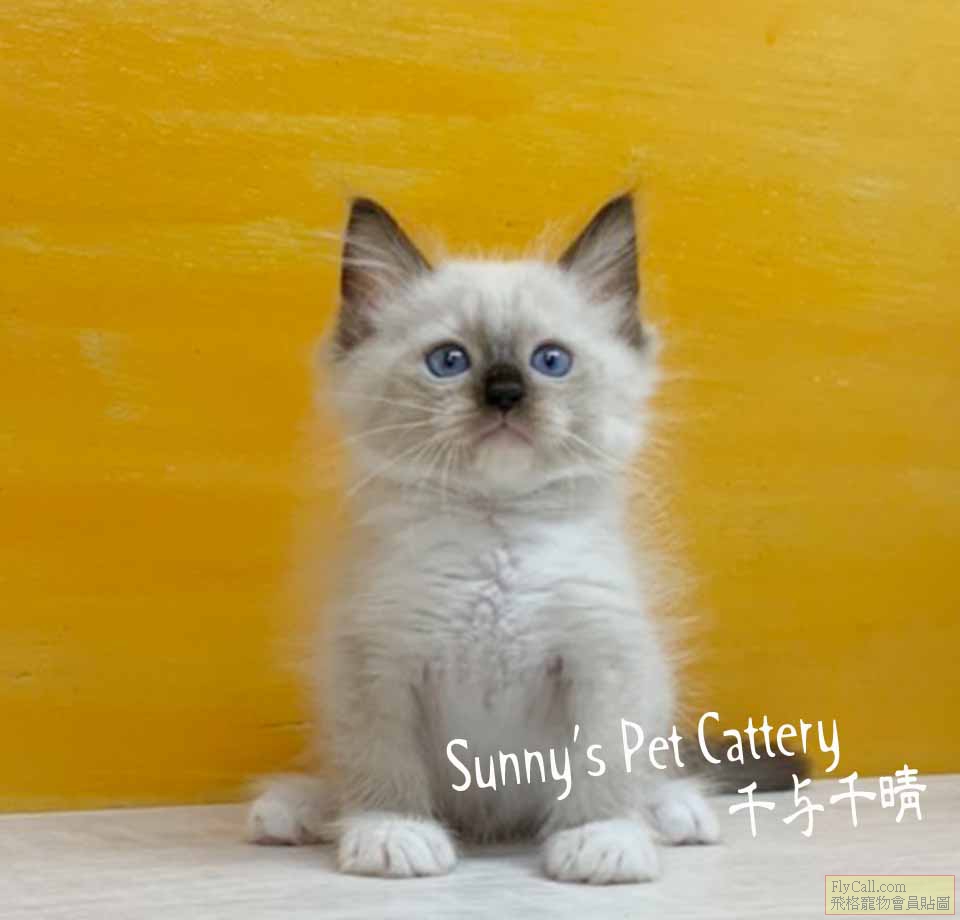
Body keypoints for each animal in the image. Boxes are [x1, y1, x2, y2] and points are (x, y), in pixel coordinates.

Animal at [247, 194, 722, 884]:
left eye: (550, 361)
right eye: (449, 361)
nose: (504, 393)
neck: (496, 537)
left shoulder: (604, 657)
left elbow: (606, 764)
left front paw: (601, 839)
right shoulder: (375, 661)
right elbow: (381, 764)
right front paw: (393, 834)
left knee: (649, 772)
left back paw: (674, 812)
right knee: (338, 777)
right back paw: (294, 810)